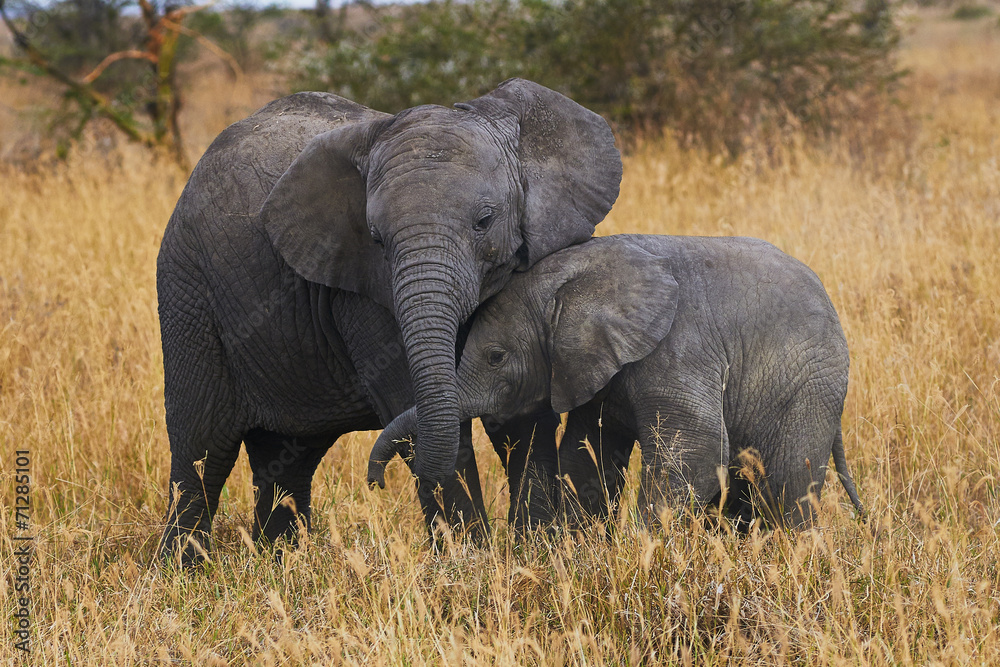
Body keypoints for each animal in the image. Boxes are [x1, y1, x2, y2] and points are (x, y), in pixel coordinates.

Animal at [156, 78, 620, 564]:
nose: (373, 481)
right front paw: (469, 562)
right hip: (188, 293)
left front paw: (539, 552)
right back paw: (183, 571)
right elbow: (424, 419)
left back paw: (280, 562)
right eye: (376, 239)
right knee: (201, 452)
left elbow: (522, 415)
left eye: (485, 221)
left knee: (287, 458)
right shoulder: (362, 296)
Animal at [372, 235, 864, 532]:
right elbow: (585, 454)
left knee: (787, 486)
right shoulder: (592, 366)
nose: (374, 481)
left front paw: (646, 548)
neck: (578, 276)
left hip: (808, 388)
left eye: (496, 357)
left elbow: (696, 453)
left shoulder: (677, 350)